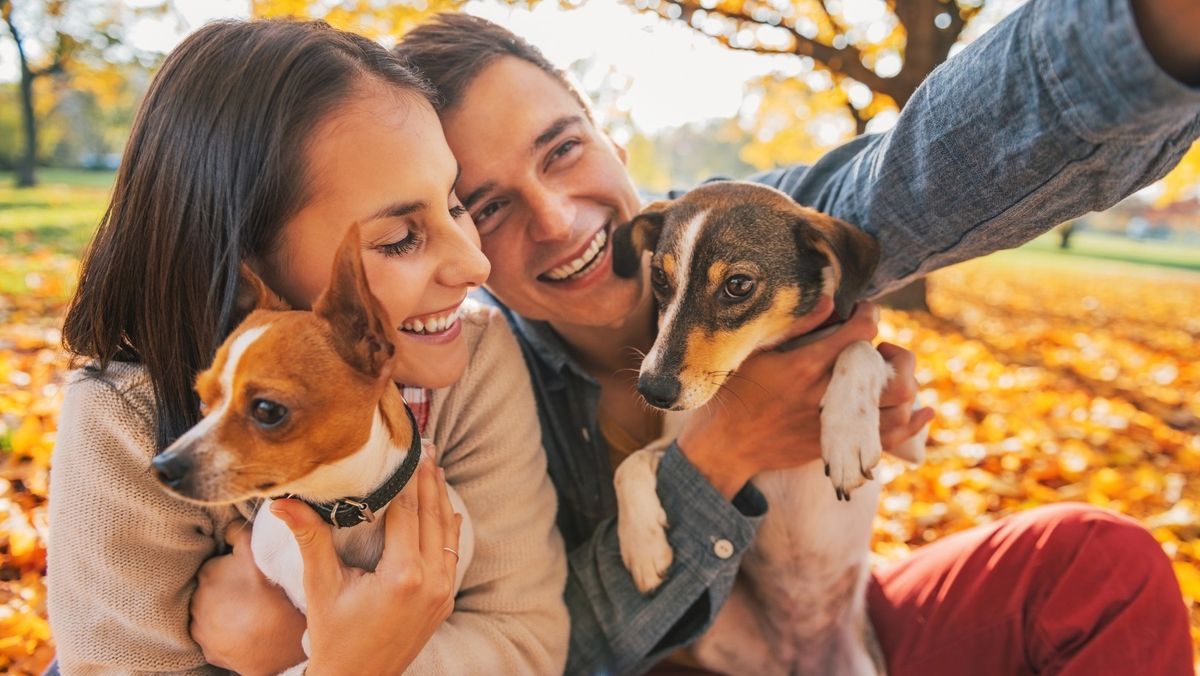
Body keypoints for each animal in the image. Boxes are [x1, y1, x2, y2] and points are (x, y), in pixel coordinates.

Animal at [609, 182, 926, 672]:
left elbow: (859, 350)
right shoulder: (680, 439)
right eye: (659, 278)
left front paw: (847, 437)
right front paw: (642, 545)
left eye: (738, 285)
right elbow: (628, 466)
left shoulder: (912, 433)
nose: (652, 390)